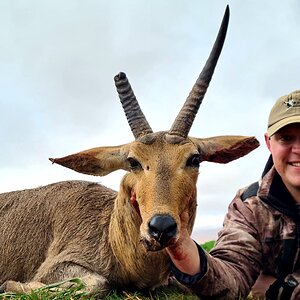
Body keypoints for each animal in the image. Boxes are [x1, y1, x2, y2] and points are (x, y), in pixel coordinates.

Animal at [0, 5, 258, 296]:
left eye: (194, 159)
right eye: (133, 161)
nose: (161, 227)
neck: (108, 231)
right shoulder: (57, 266)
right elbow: (97, 283)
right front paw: (10, 284)